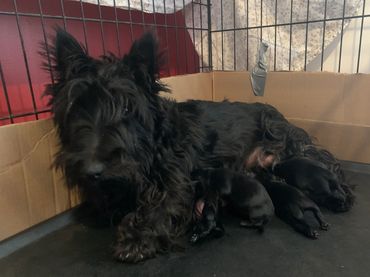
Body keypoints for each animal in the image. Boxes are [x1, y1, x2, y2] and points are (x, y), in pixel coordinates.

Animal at [44, 29, 354, 262]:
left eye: (127, 108)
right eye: (78, 106)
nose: (92, 171)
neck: (155, 142)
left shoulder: (179, 182)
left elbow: (163, 204)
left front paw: (137, 238)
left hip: (289, 143)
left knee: (330, 164)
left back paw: (341, 195)